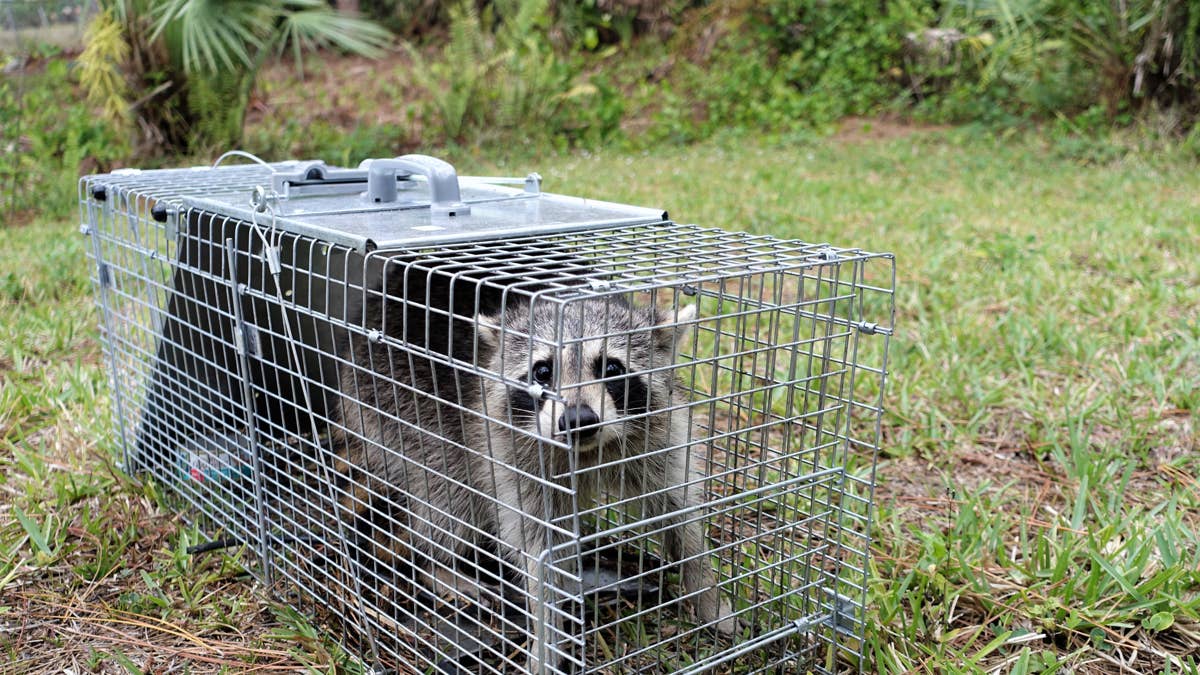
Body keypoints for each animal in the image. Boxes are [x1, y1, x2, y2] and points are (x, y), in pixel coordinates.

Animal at [332, 292, 736, 671]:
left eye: (611, 367)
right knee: (448, 500)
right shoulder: (510, 454)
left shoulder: (655, 438)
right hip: (398, 409)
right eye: (542, 372)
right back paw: (437, 565)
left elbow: (678, 510)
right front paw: (546, 641)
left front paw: (706, 592)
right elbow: (537, 550)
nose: (577, 420)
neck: (586, 453)